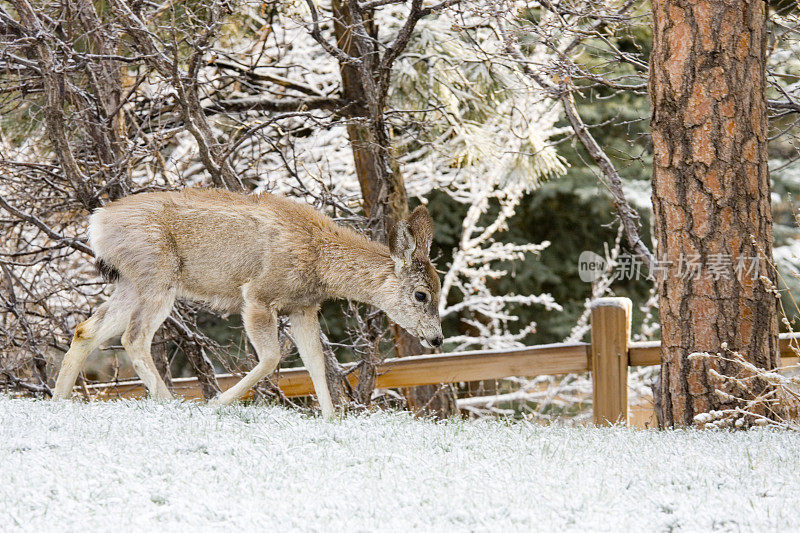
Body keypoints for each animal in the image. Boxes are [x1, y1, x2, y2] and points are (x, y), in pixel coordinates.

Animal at [53, 189, 444, 418]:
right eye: (421, 294)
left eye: (440, 291)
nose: (437, 338)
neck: (320, 259)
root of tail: (96, 222)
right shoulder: (258, 294)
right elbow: (271, 357)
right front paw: (216, 403)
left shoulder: (303, 307)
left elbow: (316, 362)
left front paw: (331, 420)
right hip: (157, 275)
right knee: (133, 338)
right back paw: (171, 403)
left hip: (132, 281)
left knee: (87, 330)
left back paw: (59, 401)